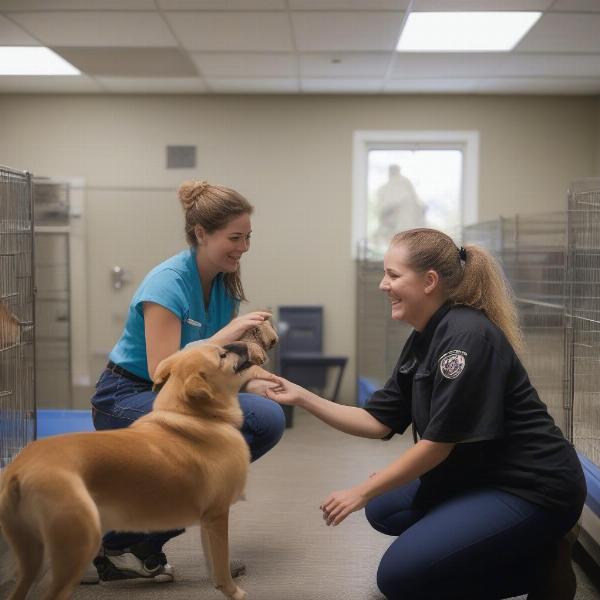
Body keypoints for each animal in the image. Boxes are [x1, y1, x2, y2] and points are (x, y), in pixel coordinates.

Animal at [0, 342, 276, 600]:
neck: (195, 417)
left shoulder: (208, 522)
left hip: (32, 557)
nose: (241, 343)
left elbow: (214, 568)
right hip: (78, 543)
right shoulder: (217, 515)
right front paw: (234, 591)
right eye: (222, 356)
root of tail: (19, 470)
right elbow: (221, 565)